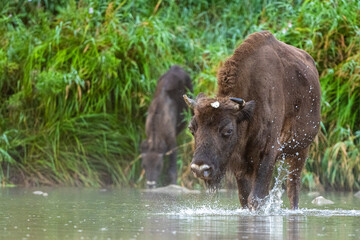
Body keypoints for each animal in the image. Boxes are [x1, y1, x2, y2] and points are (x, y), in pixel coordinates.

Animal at [184, 31, 320, 209]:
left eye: (228, 130)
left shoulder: (267, 154)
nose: (200, 168)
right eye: (192, 128)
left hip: (301, 150)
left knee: (293, 188)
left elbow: (256, 198)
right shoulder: (240, 164)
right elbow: (244, 198)